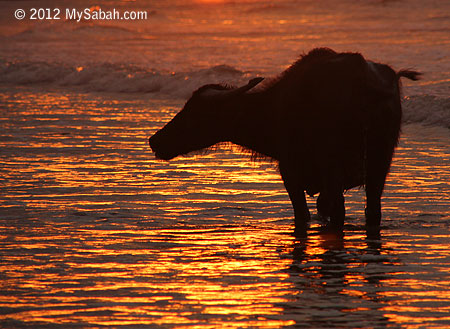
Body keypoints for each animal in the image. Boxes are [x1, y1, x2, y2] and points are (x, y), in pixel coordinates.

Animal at [149, 47, 420, 234]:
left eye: (194, 112)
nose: (155, 141)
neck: (271, 111)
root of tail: (366, 83)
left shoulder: (291, 173)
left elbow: (304, 212)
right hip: (379, 167)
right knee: (372, 210)